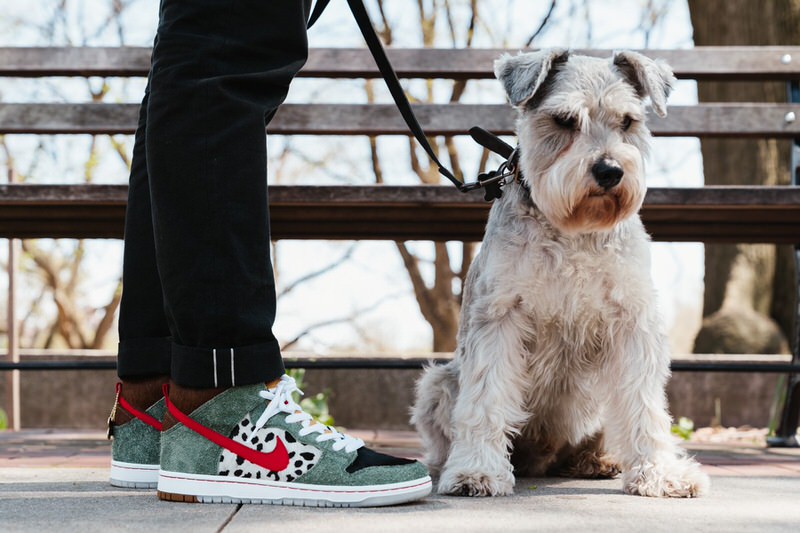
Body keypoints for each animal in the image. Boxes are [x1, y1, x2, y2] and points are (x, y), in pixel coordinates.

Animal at [412, 48, 708, 498]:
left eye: (628, 121)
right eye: (565, 120)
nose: (609, 171)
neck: (574, 230)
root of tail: (541, 457)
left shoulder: (632, 321)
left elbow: (644, 404)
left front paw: (660, 472)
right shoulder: (499, 316)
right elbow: (486, 398)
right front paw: (477, 471)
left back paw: (600, 460)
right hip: (437, 384)